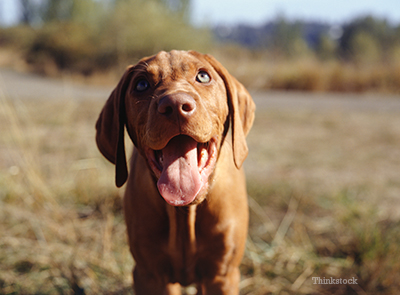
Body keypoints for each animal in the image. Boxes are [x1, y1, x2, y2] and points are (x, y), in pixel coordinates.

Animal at [95, 49, 255, 294]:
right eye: (141, 84)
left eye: (203, 76)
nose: (176, 105)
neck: (184, 213)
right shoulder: (149, 274)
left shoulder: (222, 275)